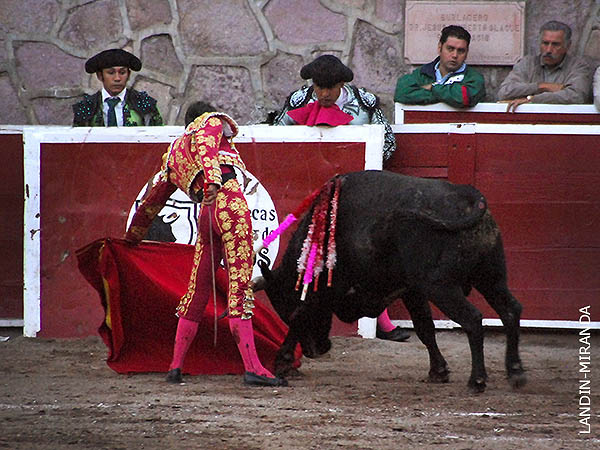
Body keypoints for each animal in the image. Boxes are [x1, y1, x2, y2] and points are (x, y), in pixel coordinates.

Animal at [253, 170, 526, 393]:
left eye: (286, 310)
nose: (314, 351)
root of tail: (469, 196)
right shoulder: (412, 290)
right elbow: (425, 328)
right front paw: (438, 372)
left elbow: (299, 318)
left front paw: (283, 361)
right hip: (491, 278)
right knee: (510, 310)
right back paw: (515, 372)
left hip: (441, 287)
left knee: (473, 319)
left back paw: (477, 380)